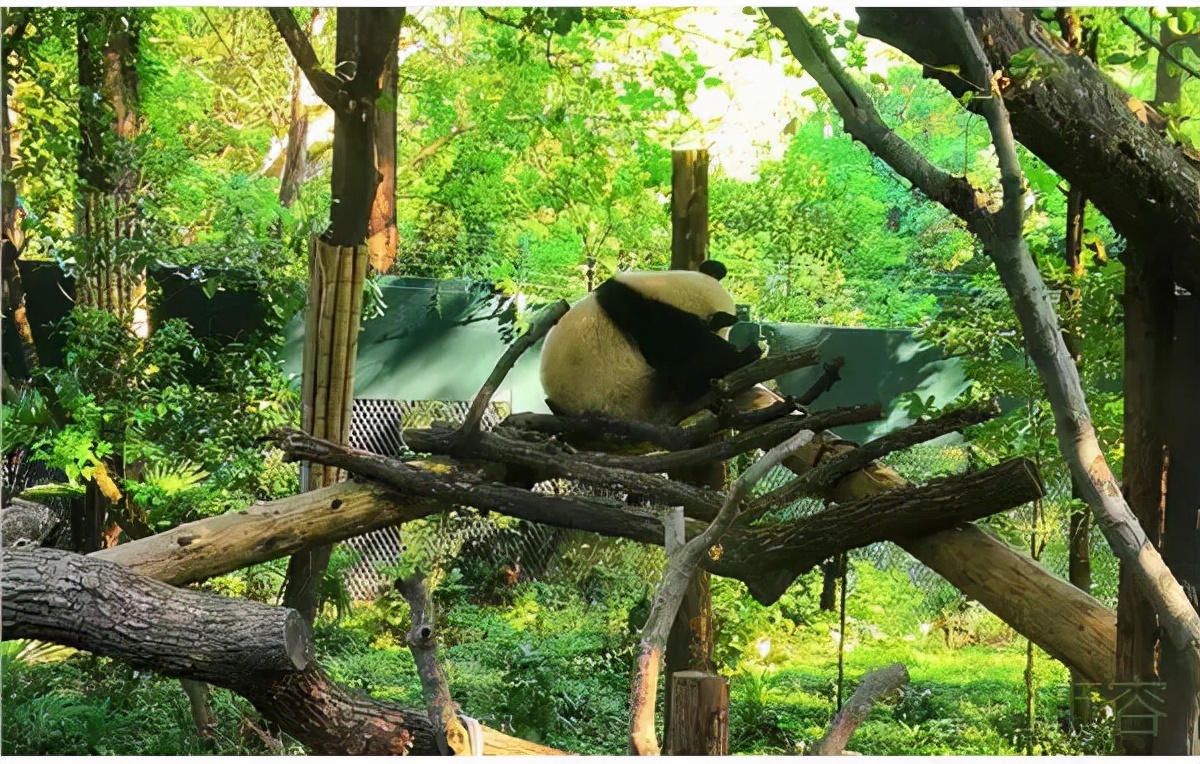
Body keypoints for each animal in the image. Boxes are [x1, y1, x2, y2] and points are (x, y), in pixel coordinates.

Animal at [542, 260, 763, 429]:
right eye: (724, 332)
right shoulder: (650, 319)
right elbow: (689, 362)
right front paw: (745, 354)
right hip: (630, 393)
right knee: (683, 384)